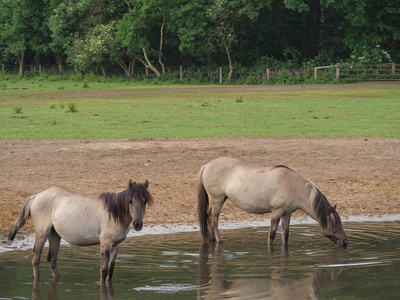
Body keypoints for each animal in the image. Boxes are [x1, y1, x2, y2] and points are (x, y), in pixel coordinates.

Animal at [6, 179, 153, 282]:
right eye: (130, 201)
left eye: (145, 201)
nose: (137, 224)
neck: (114, 213)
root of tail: (36, 196)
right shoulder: (105, 243)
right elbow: (104, 270)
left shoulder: (116, 245)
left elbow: (110, 270)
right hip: (42, 233)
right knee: (36, 257)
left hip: (54, 234)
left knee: (52, 259)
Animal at [198, 157, 348, 248]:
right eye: (334, 227)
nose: (345, 241)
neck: (293, 186)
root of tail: (207, 165)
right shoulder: (276, 212)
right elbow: (272, 235)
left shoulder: (287, 214)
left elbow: (285, 235)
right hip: (217, 200)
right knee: (213, 219)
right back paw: (219, 241)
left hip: (220, 200)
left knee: (209, 217)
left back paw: (211, 239)